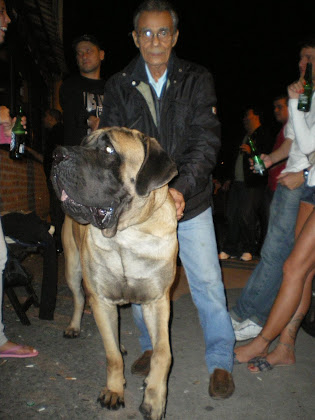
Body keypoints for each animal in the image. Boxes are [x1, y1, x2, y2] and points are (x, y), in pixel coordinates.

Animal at [52, 126, 179, 418]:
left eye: (109, 150)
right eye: (83, 143)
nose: (57, 154)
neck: (126, 234)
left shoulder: (158, 300)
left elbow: (162, 353)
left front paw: (155, 398)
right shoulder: (101, 299)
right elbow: (111, 356)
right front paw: (113, 390)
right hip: (72, 269)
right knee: (79, 299)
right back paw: (74, 326)